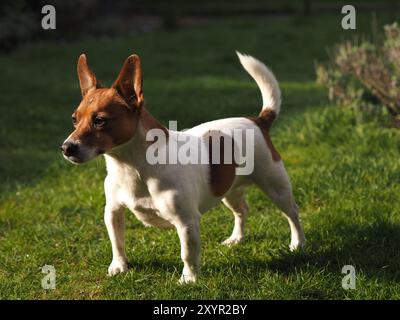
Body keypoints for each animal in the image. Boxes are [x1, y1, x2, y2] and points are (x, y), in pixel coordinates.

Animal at [61, 51, 306, 284]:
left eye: (99, 121)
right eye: (74, 119)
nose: (66, 147)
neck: (130, 166)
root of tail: (258, 120)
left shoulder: (186, 222)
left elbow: (187, 254)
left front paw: (188, 279)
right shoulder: (112, 211)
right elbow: (117, 241)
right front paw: (119, 266)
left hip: (276, 187)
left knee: (292, 213)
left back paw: (298, 243)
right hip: (229, 190)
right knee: (242, 210)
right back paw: (236, 238)